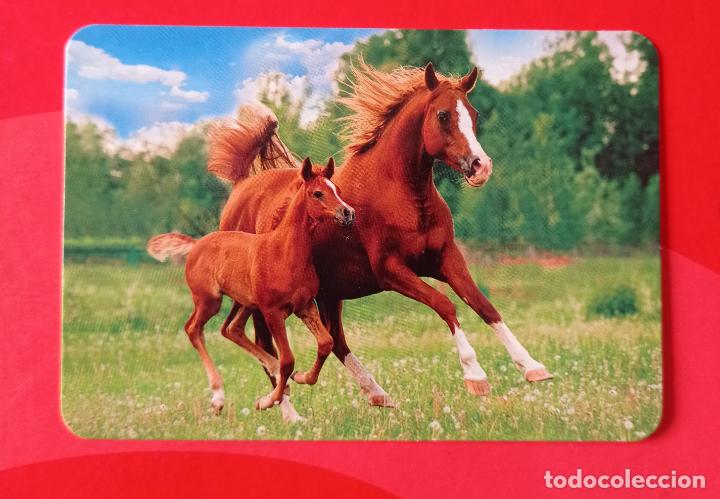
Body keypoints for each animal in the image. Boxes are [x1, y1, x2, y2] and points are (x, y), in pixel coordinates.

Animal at [147, 157, 355, 422]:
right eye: (317, 193)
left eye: (336, 189)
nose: (348, 212)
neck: (283, 252)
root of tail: (196, 245)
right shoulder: (272, 312)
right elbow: (288, 359)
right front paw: (267, 401)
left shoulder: (305, 306)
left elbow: (325, 343)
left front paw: (301, 377)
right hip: (209, 300)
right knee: (193, 329)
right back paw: (218, 397)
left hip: (245, 302)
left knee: (232, 329)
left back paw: (273, 374)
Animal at [207, 61, 553, 417]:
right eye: (443, 115)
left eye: (474, 113)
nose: (480, 166)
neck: (400, 194)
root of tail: (240, 188)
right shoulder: (391, 271)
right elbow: (445, 304)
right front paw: (476, 376)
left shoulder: (446, 258)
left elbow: (484, 305)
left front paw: (533, 367)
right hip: (262, 300)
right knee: (267, 345)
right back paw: (289, 413)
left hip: (330, 293)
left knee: (335, 340)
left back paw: (377, 393)